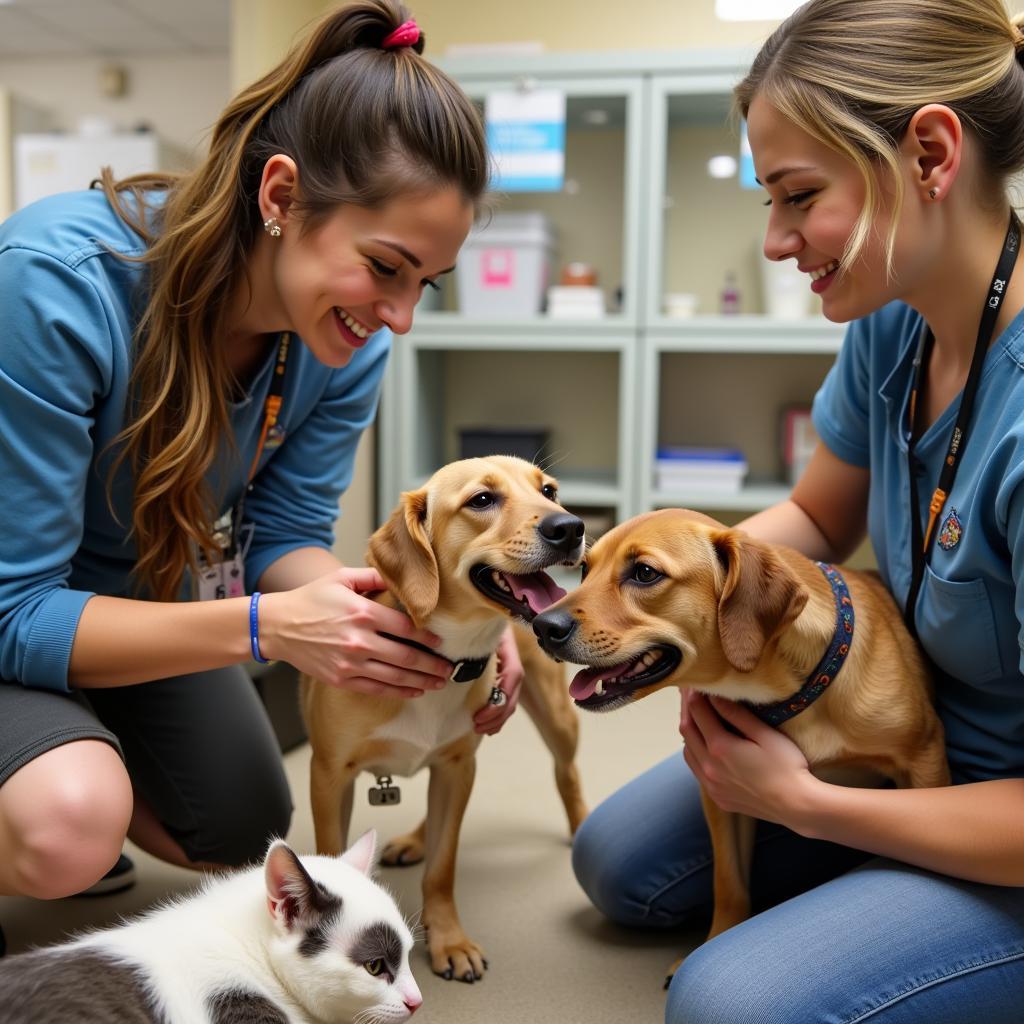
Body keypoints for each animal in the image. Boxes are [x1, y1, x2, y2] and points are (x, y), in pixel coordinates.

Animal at [299, 458, 589, 983]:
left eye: (549, 491)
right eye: (482, 500)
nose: (571, 526)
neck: (447, 658)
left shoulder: (457, 768)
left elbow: (443, 866)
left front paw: (448, 940)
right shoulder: (329, 776)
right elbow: (331, 852)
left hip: (557, 720)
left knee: (566, 773)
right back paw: (415, 839)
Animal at [532, 507, 946, 970]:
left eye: (644, 573)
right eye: (584, 569)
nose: (541, 625)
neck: (796, 695)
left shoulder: (925, 760)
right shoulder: (721, 794)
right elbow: (729, 884)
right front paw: (714, 940)